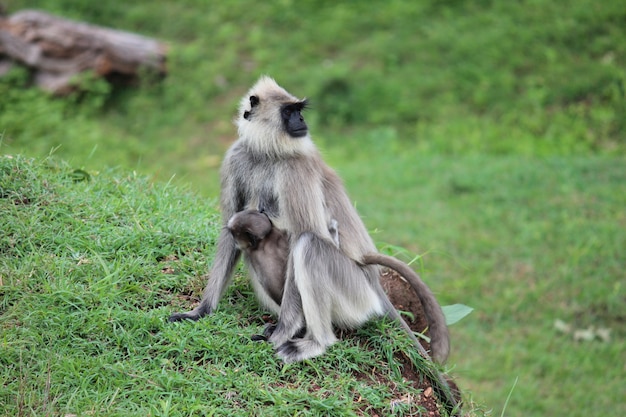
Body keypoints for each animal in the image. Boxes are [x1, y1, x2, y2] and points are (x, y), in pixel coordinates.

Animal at [167, 75, 448, 364]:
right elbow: (228, 227)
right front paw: (201, 311)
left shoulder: (295, 169)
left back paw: (314, 342)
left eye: (298, 111)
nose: (301, 121)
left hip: (355, 292)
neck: (267, 153)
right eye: (289, 112)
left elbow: (302, 232)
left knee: (310, 244)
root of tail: (373, 282)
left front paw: (281, 333)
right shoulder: (236, 156)